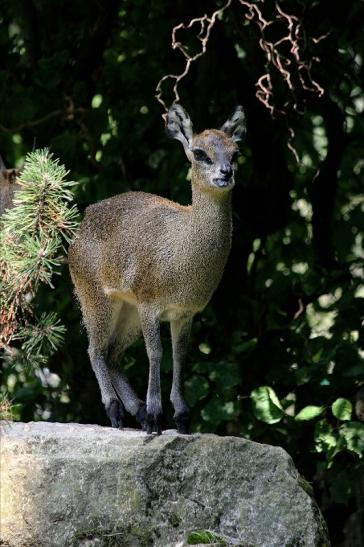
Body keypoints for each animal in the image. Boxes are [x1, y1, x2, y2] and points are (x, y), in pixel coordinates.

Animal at [68, 105, 245, 434]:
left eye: (236, 152)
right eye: (200, 152)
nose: (226, 173)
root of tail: (83, 221)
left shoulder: (184, 312)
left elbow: (179, 356)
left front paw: (182, 417)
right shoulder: (150, 305)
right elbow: (156, 353)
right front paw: (155, 416)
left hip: (128, 311)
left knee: (112, 354)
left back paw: (135, 411)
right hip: (96, 298)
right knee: (95, 350)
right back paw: (116, 412)